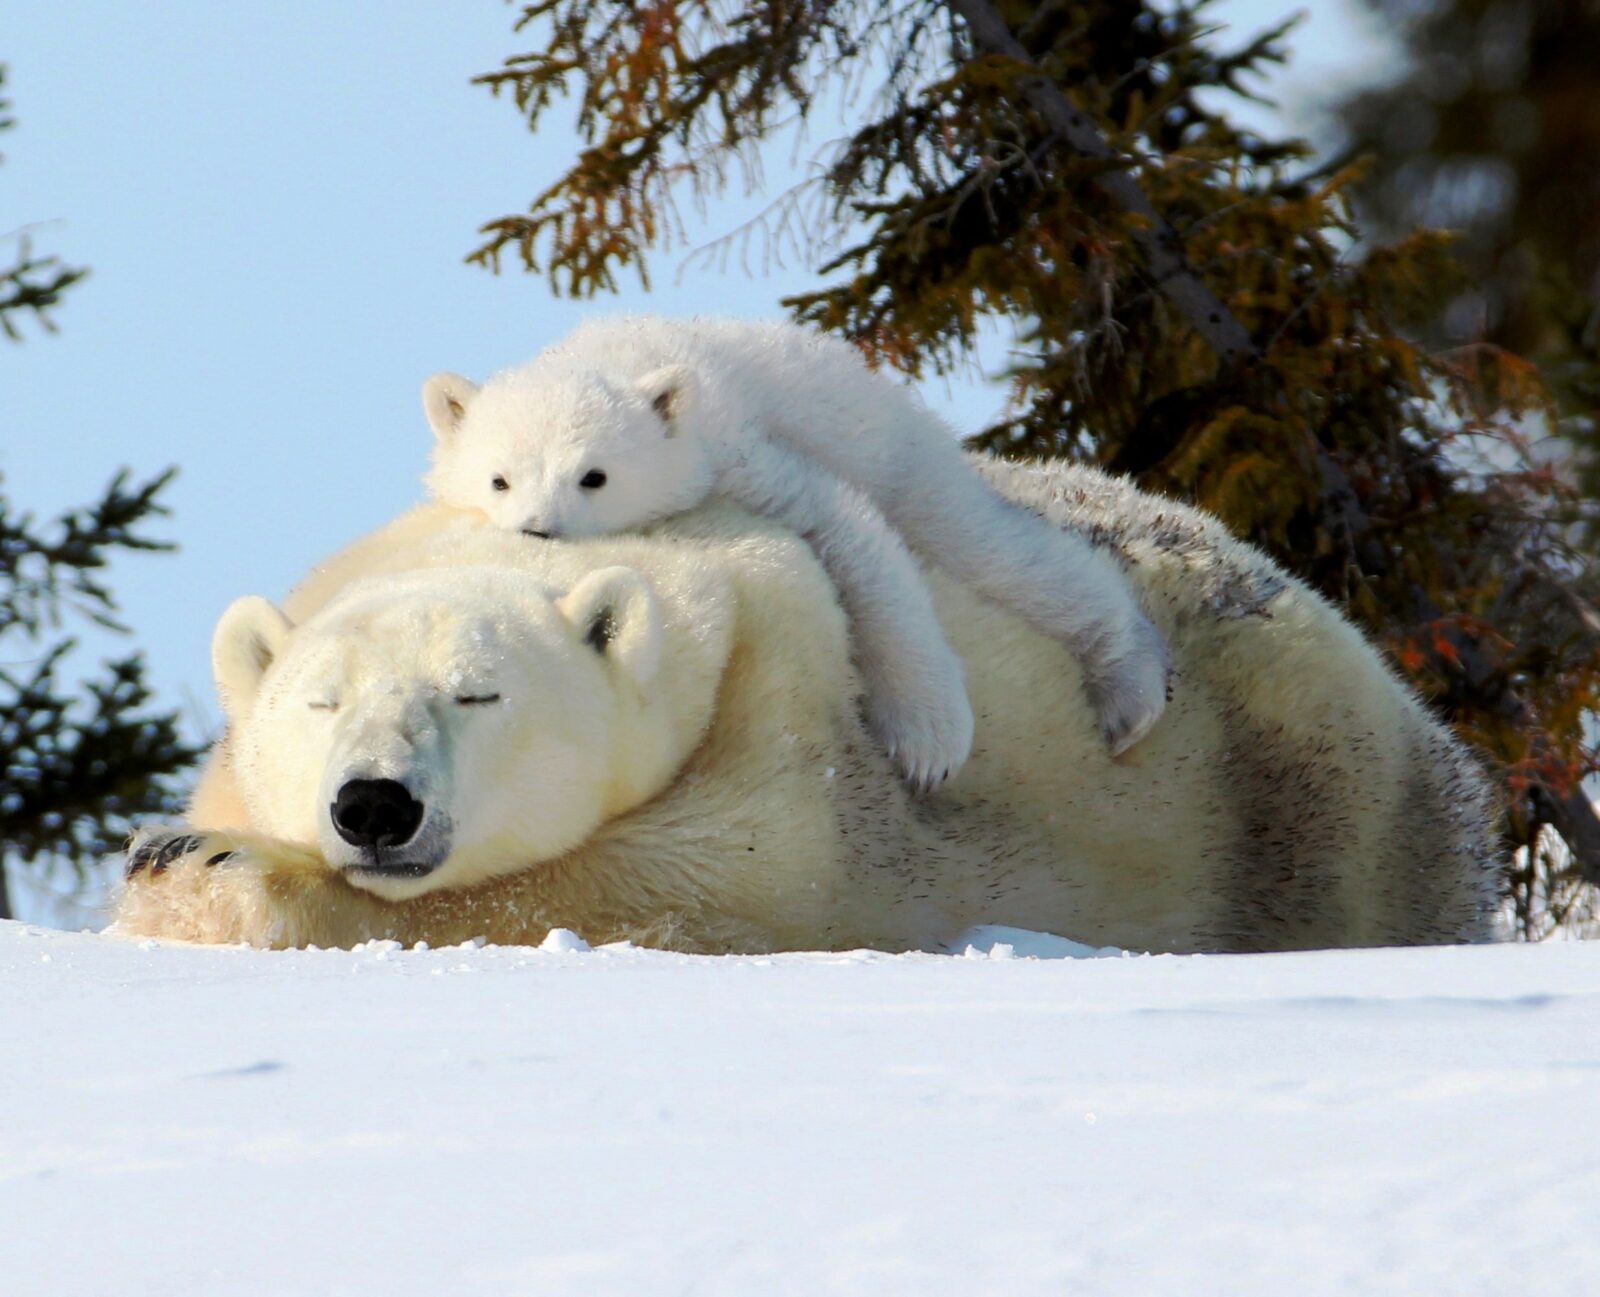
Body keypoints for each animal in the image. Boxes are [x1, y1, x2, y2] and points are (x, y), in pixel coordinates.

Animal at [116, 457, 1497, 953]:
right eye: (319, 702)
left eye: (477, 692)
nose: (373, 806)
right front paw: (179, 847)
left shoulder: (789, 695)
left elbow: (694, 881)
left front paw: (212, 871)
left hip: (1310, 789)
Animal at [425, 315, 1171, 790]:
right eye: (499, 478)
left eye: (594, 476)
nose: (537, 530)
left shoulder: (740, 454)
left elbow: (849, 533)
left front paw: (928, 740)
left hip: (902, 456)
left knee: (991, 548)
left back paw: (1129, 695)